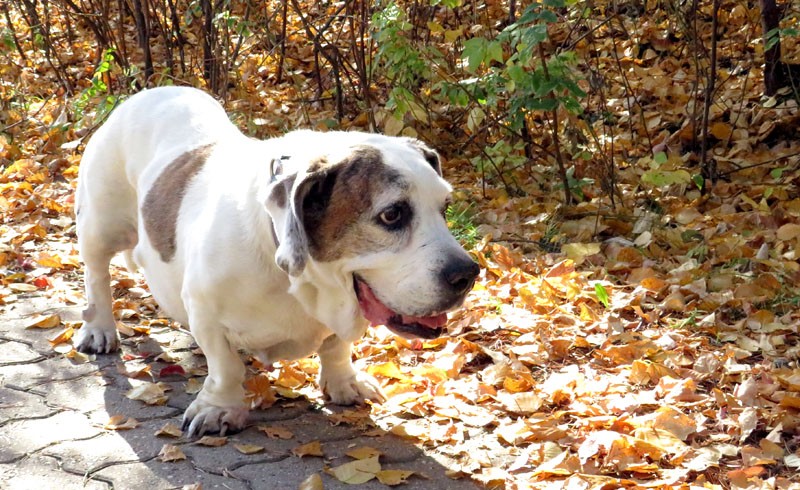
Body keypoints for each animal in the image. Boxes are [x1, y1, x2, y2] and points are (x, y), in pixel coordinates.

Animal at [72, 87, 478, 436]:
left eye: (445, 208)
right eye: (392, 215)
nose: (468, 274)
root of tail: (145, 94)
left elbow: (336, 347)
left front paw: (343, 381)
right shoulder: (206, 312)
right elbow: (225, 366)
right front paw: (219, 408)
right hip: (100, 225)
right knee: (96, 275)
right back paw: (100, 329)